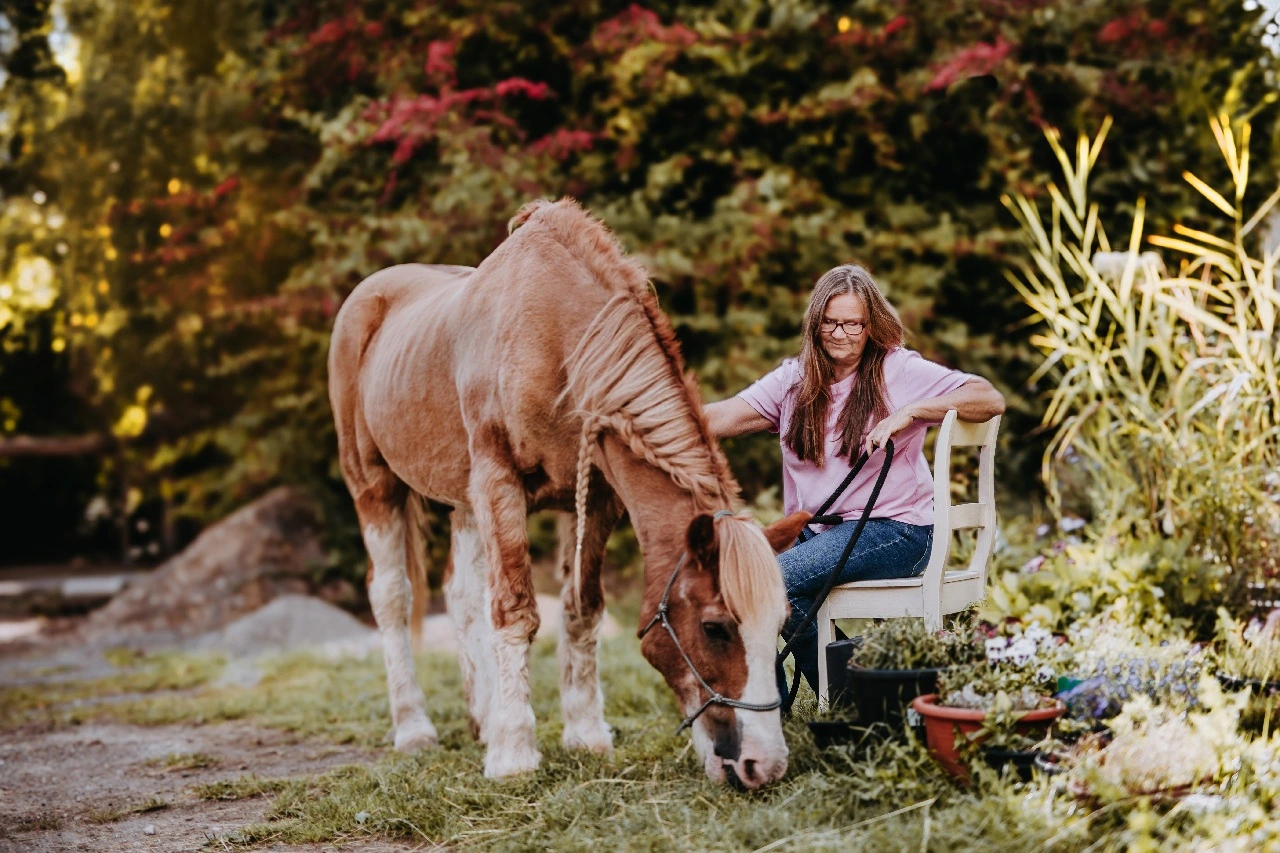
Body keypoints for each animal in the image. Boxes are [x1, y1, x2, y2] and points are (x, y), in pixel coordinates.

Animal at [328, 198, 810, 787]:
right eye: (715, 628)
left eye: (780, 624)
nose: (763, 764)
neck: (554, 340)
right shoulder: (500, 484)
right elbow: (516, 612)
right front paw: (514, 754)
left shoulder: (594, 499)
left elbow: (581, 610)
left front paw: (583, 735)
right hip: (375, 487)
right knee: (393, 598)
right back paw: (414, 728)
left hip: (464, 499)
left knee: (461, 596)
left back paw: (483, 718)